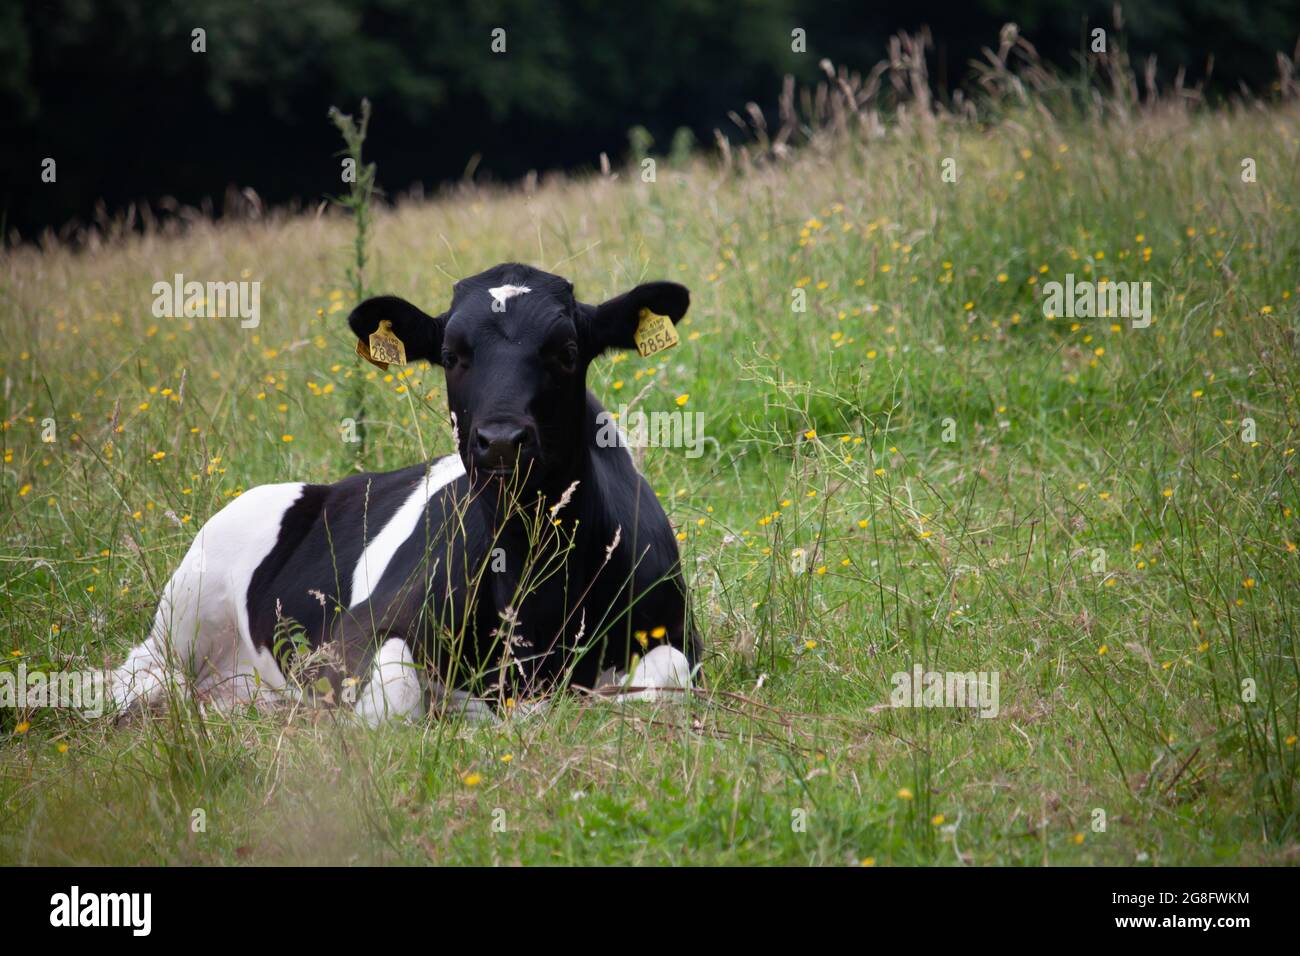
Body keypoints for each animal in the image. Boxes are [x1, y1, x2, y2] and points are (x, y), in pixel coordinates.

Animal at [110, 263, 701, 723]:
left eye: (568, 351)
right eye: (451, 354)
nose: (501, 440)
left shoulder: (675, 629)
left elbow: (666, 684)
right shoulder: (350, 635)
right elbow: (394, 695)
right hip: (189, 600)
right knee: (142, 669)